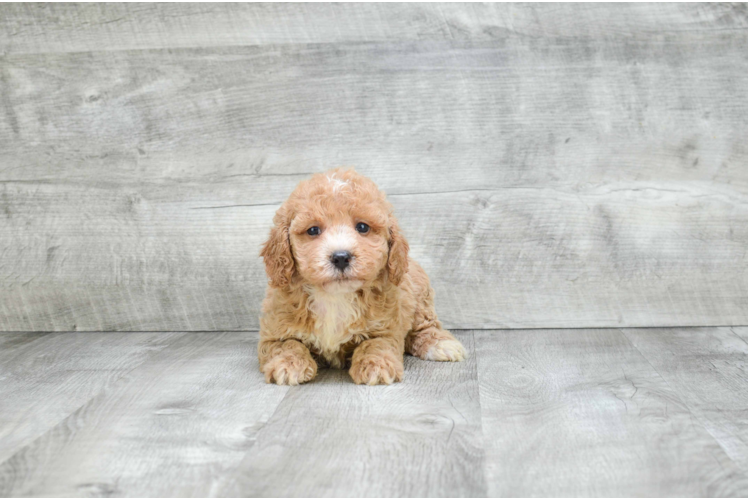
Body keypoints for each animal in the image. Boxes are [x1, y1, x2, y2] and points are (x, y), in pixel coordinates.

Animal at [260, 169, 464, 386]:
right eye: (313, 230)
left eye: (363, 227)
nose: (341, 257)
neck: (334, 297)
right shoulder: (273, 331)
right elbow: (287, 344)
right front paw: (288, 365)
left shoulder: (385, 329)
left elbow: (375, 344)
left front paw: (376, 366)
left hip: (420, 299)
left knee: (424, 327)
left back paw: (441, 344)